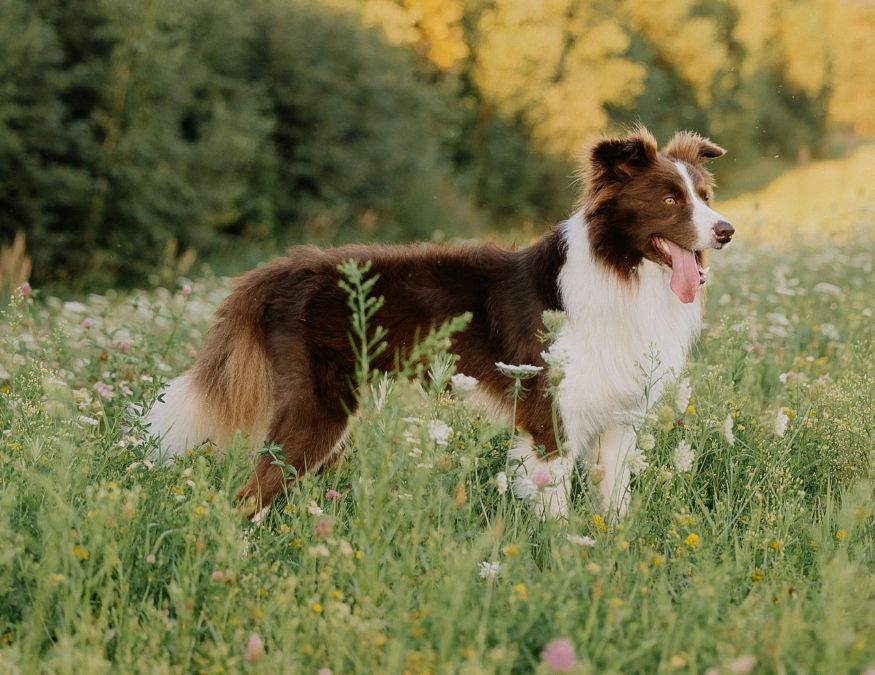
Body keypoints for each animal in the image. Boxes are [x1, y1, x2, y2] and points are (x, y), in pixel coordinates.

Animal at [149, 124, 732, 520]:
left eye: (705, 197)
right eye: (669, 198)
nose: (726, 230)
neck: (621, 271)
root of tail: (277, 269)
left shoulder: (618, 420)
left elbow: (614, 508)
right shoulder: (551, 422)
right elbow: (557, 511)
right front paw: (562, 564)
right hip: (319, 410)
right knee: (248, 496)